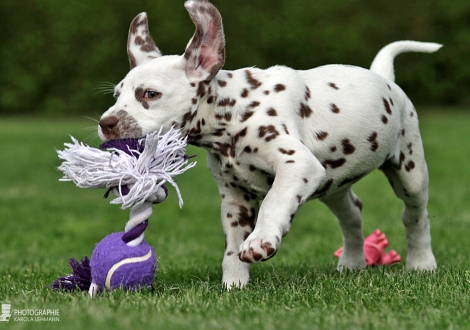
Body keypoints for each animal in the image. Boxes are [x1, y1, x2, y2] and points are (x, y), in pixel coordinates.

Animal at [98, 0, 440, 288]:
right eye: (117, 94)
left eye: (149, 94)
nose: (105, 123)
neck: (234, 111)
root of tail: (386, 79)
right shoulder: (235, 198)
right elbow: (231, 248)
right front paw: (234, 284)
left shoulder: (297, 165)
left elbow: (274, 202)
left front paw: (261, 241)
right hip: (333, 185)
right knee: (352, 214)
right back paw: (353, 261)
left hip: (410, 174)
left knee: (415, 217)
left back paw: (422, 262)